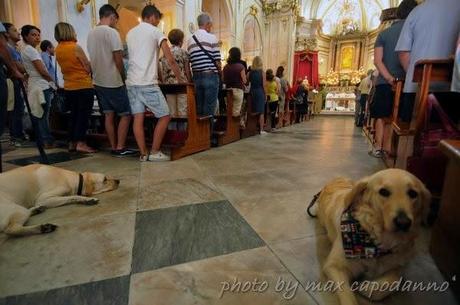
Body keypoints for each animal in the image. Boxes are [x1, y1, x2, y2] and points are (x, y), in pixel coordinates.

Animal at [310, 167, 432, 304]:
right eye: (383, 192)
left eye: (413, 193)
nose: (403, 223)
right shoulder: (334, 266)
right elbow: (348, 297)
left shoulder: (399, 263)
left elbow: (395, 279)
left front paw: (368, 288)